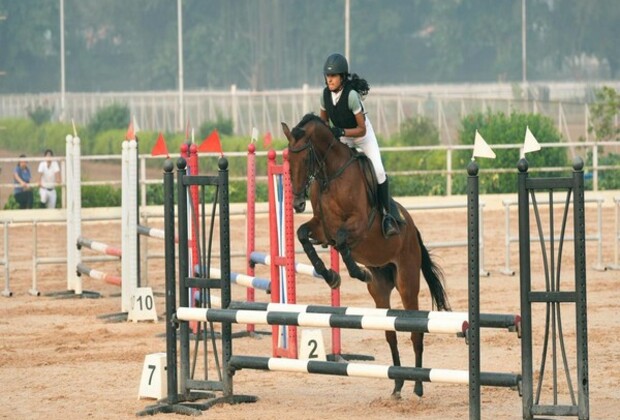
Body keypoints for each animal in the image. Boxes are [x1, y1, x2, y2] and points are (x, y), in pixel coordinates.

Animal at [280, 113, 450, 398]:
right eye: (287, 160)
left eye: (304, 158)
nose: (297, 204)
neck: (330, 176)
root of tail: (413, 230)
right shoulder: (321, 228)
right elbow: (304, 234)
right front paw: (331, 276)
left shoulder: (358, 225)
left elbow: (341, 240)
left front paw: (357, 272)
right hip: (380, 289)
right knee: (390, 332)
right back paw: (397, 385)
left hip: (407, 281)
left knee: (415, 331)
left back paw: (417, 386)